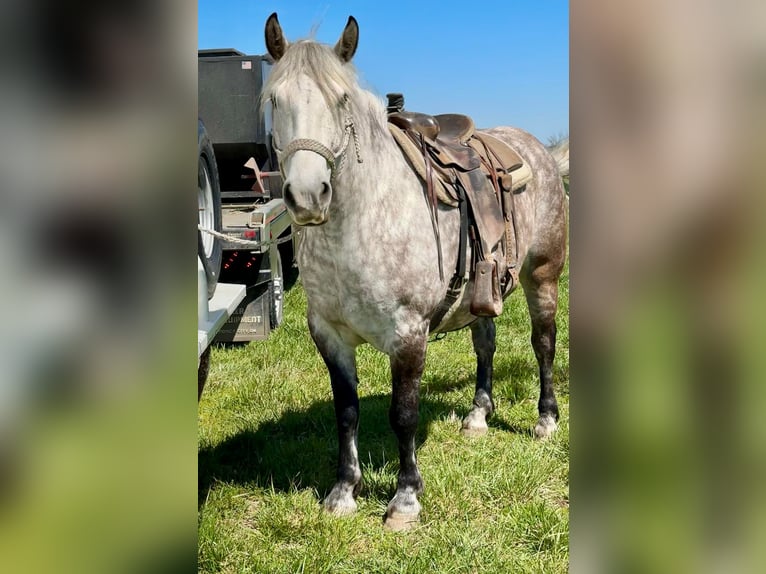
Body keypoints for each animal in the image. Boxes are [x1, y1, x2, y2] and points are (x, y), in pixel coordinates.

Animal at [264, 12, 568, 532]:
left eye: (340, 99)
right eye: (274, 99)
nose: (307, 196)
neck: (361, 221)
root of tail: (536, 149)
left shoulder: (408, 334)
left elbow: (403, 414)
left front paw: (405, 499)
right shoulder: (328, 334)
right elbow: (347, 412)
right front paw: (343, 492)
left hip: (542, 276)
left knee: (543, 343)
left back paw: (545, 419)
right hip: (483, 289)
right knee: (485, 344)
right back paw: (478, 416)